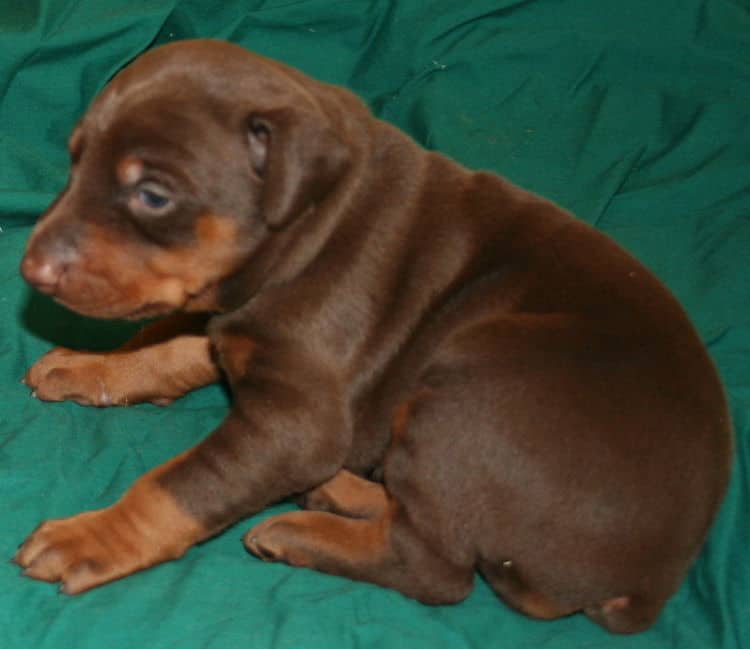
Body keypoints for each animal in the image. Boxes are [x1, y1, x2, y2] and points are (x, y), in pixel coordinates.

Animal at [16, 38, 736, 632]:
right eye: (75, 162)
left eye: (154, 196)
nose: (31, 268)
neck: (311, 224)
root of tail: (649, 586)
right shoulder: (239, 319)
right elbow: (177, 344)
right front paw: (92, 366)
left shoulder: (297, 422)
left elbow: (184, 481)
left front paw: (93, 536)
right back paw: (341, 489)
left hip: (470, 373)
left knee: (436, 567)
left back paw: (305, 527)